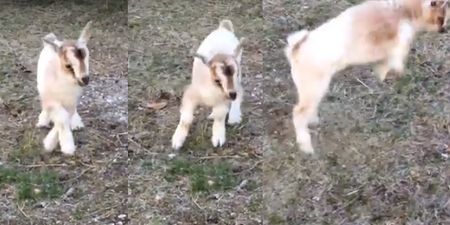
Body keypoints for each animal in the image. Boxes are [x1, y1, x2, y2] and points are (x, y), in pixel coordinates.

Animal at [37, 20, 93, 155]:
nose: (85, 79)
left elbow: (65, 117)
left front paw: (52, 143)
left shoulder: (71, 101)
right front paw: (64, 147)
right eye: (68, 65)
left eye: (87, 57)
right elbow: (62, 119)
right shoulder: (51, 100)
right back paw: (42, 121)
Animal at [171, 19, 244, 149]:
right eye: (217, 80)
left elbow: (220, 115)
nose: (232, 95)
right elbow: (186, 118)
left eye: (236, 74)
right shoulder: (191, 94)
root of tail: (223, 28)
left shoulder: (224, 98)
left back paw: (234, 116)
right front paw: (177, 141)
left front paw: (218, 138)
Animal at [286, 0, 448, 153]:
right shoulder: (398, 38)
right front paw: (393, 73)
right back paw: (306, 145)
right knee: (299, 112)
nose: (444, 30)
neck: (404, 9)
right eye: (441, 18)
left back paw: (313, 120)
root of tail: (295, 48)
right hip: (314, 86)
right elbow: (396, 56)